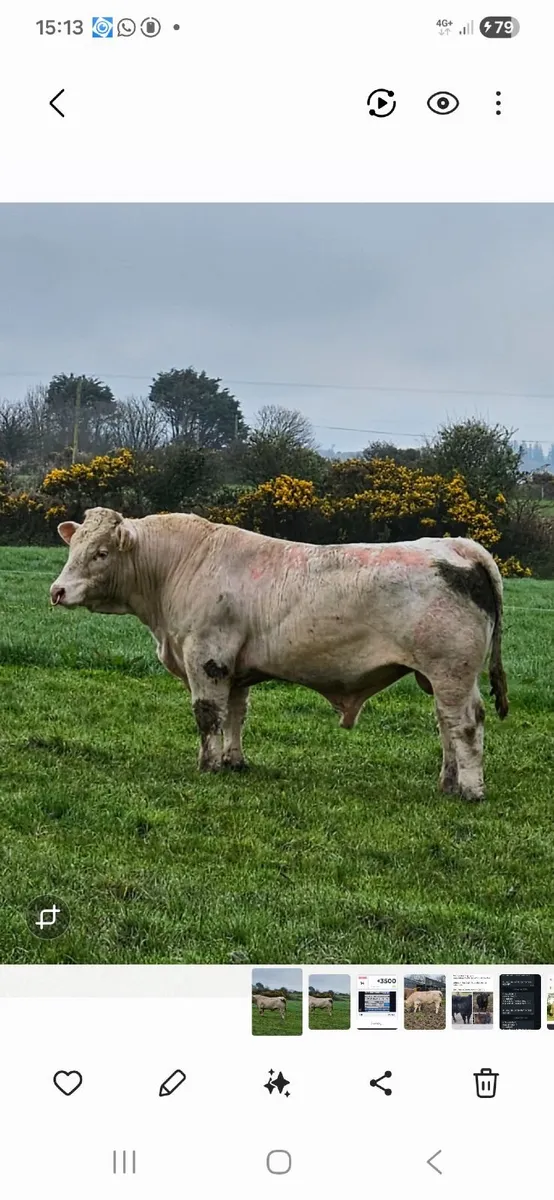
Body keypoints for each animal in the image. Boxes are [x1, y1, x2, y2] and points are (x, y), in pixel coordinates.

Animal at [50, 509, 509, 801]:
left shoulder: (206, 657)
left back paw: (470, 791)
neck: (178, 565)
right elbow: (235, 714)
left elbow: (208, 716)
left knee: (465, 724)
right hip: (441, 678)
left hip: (451, 672)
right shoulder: (231, 667)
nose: (58, 590)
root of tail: (457, 545)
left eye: (101, 553)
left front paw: (208, 764)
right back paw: (448, 783)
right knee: (446, 725)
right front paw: (233, 761)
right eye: (74, 549)